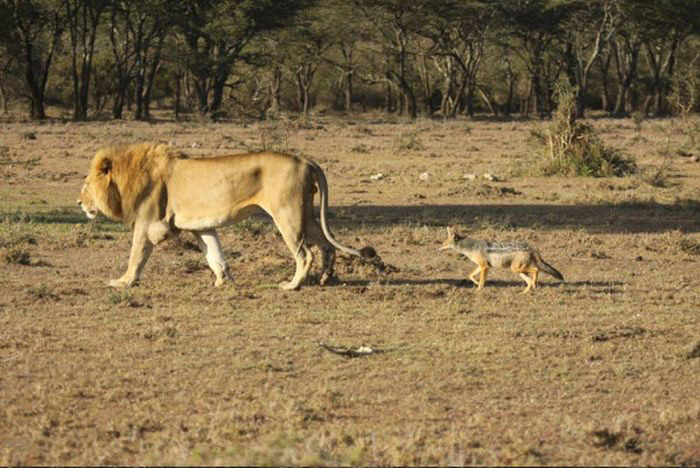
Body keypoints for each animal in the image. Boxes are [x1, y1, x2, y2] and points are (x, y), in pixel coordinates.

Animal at [77, 143, 374, 288]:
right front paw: (223, 281)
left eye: (87, 185)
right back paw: (325, 278)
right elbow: (214, 254)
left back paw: (292, 285)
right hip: (305, 215)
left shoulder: (148, 223)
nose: (79, 202)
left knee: (305, 253)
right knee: (326, 245)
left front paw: (123, 282)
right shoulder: (201, 226)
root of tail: (306, 160)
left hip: (287, 214)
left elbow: (136, 256)